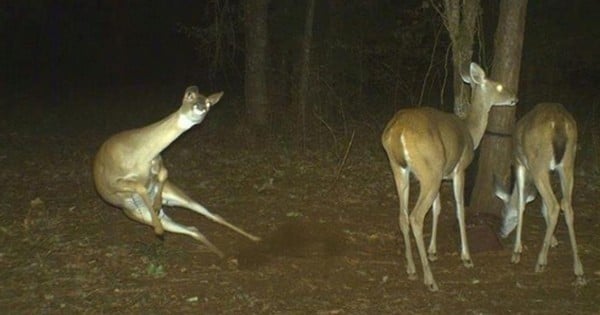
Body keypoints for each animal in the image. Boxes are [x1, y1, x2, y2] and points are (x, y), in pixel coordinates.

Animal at [94, 85, 260, 258]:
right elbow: (140, 186)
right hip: (139, 215)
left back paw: (252, 240)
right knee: (193, 229)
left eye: (209, 103)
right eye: (190, 97)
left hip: (176, 195)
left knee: (210, 217)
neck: (139, 154)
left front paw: (157, 203)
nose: (201, 107)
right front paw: (157, 225)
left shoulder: (157, 162)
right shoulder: (112, 182)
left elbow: (164, 173)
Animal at [382, 62, 516, 292]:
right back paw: (430, 280)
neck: (471, 132)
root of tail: (397, 132)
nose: (514, 98)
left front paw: (432, 251)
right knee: (416, 216)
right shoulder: (459, 169)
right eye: (499, 86)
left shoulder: (443, 173)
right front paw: (466, 257)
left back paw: (411, 269)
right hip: (428, 171)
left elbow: (438, 208)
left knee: (402, 215)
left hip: (401, 169)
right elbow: (460, 210)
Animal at [492, 103, 584, 286]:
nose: (501, 232)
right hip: (568, 162)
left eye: (503, 212)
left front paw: (516, 251)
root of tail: (559, 122)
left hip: (538, 164)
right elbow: (542, 207)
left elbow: (521, 203)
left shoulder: (519, 163)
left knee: (555, 205)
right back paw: (578, 269)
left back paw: (541, 262)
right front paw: (553, 240)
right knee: (566, 205)